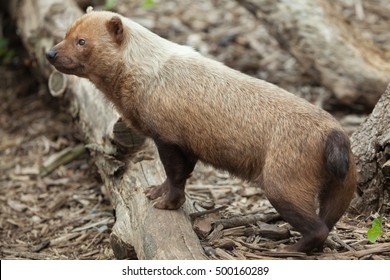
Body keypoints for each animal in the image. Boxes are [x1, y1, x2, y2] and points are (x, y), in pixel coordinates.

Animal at [46, 9, 356, 253]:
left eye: (82, 41)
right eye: (66, 32)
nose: (50, 52)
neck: (149, 74)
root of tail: (334, 135)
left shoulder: (167, 136)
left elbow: (175, 174)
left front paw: (166, 202)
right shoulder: (188, 142)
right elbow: (181, 173)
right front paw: (155, 191)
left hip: (282, 184)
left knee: (318, 228)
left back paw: (288, 249)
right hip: (343, 186)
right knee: (330, 220)